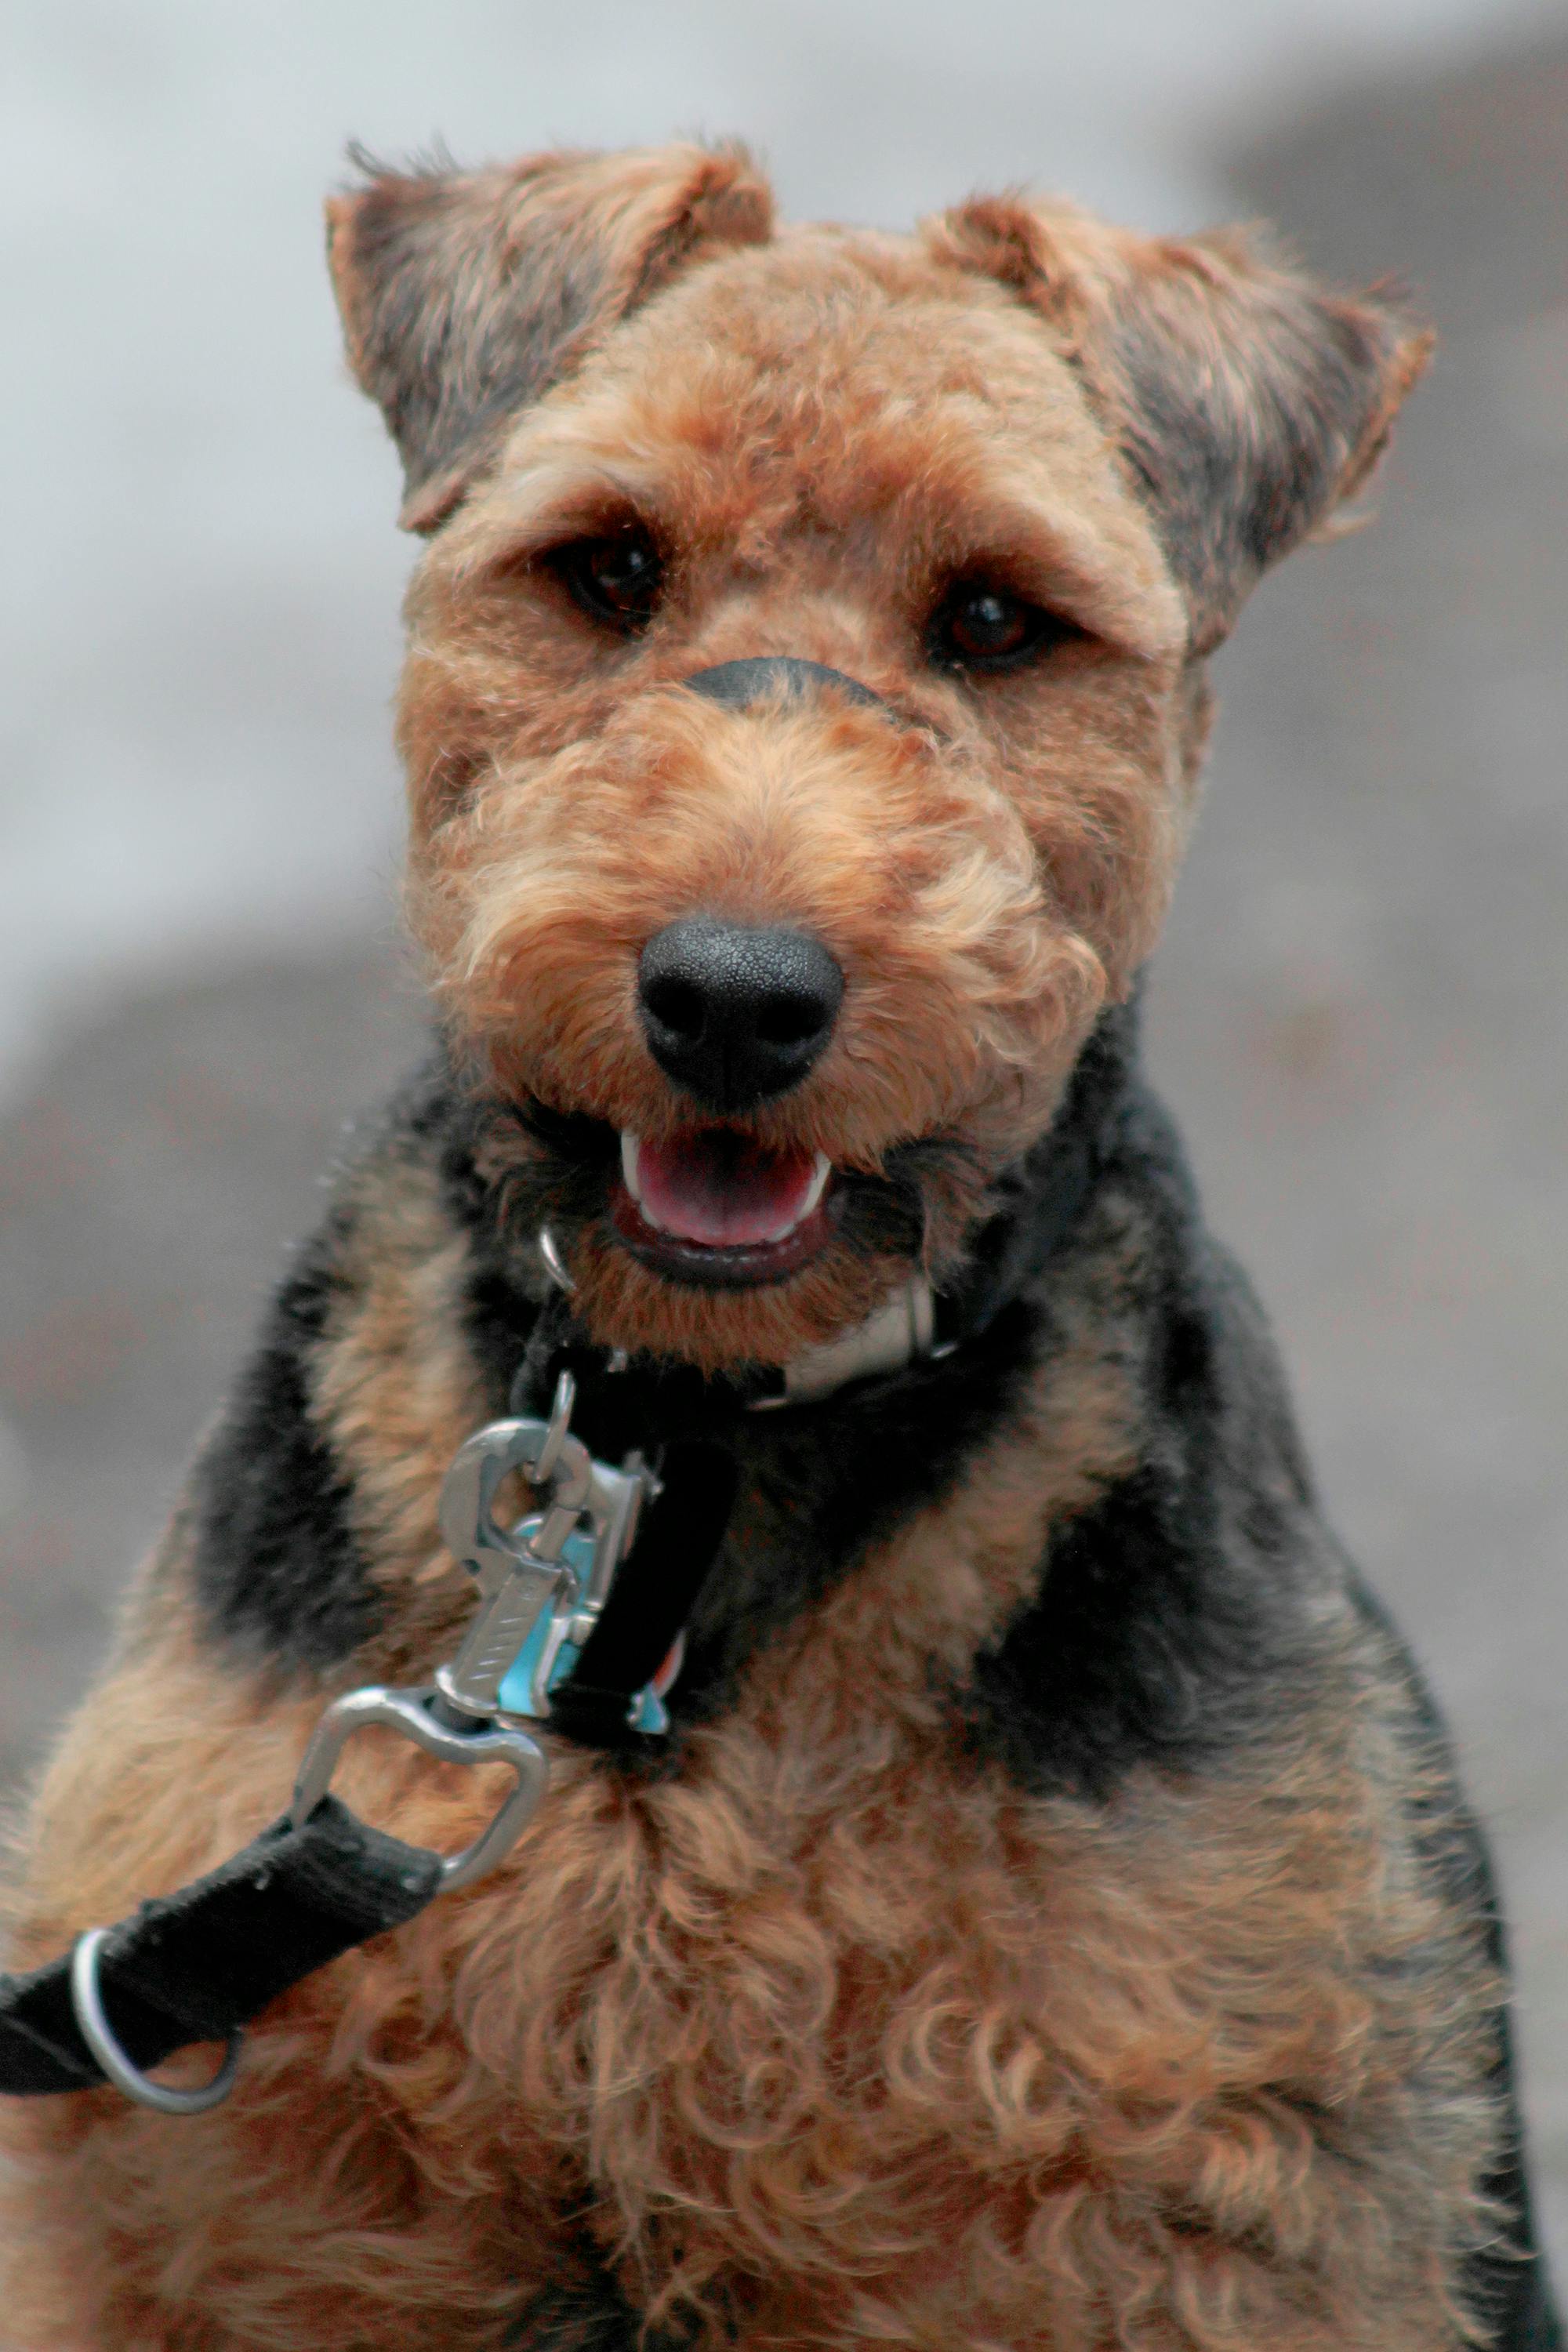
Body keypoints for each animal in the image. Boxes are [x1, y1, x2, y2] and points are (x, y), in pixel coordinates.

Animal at [0, 147, 1561, 2352]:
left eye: (993, 616)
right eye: (605, 565)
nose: (732, 997)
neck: (679, 1476)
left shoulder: (1244, 2201)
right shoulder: (173, 2193)